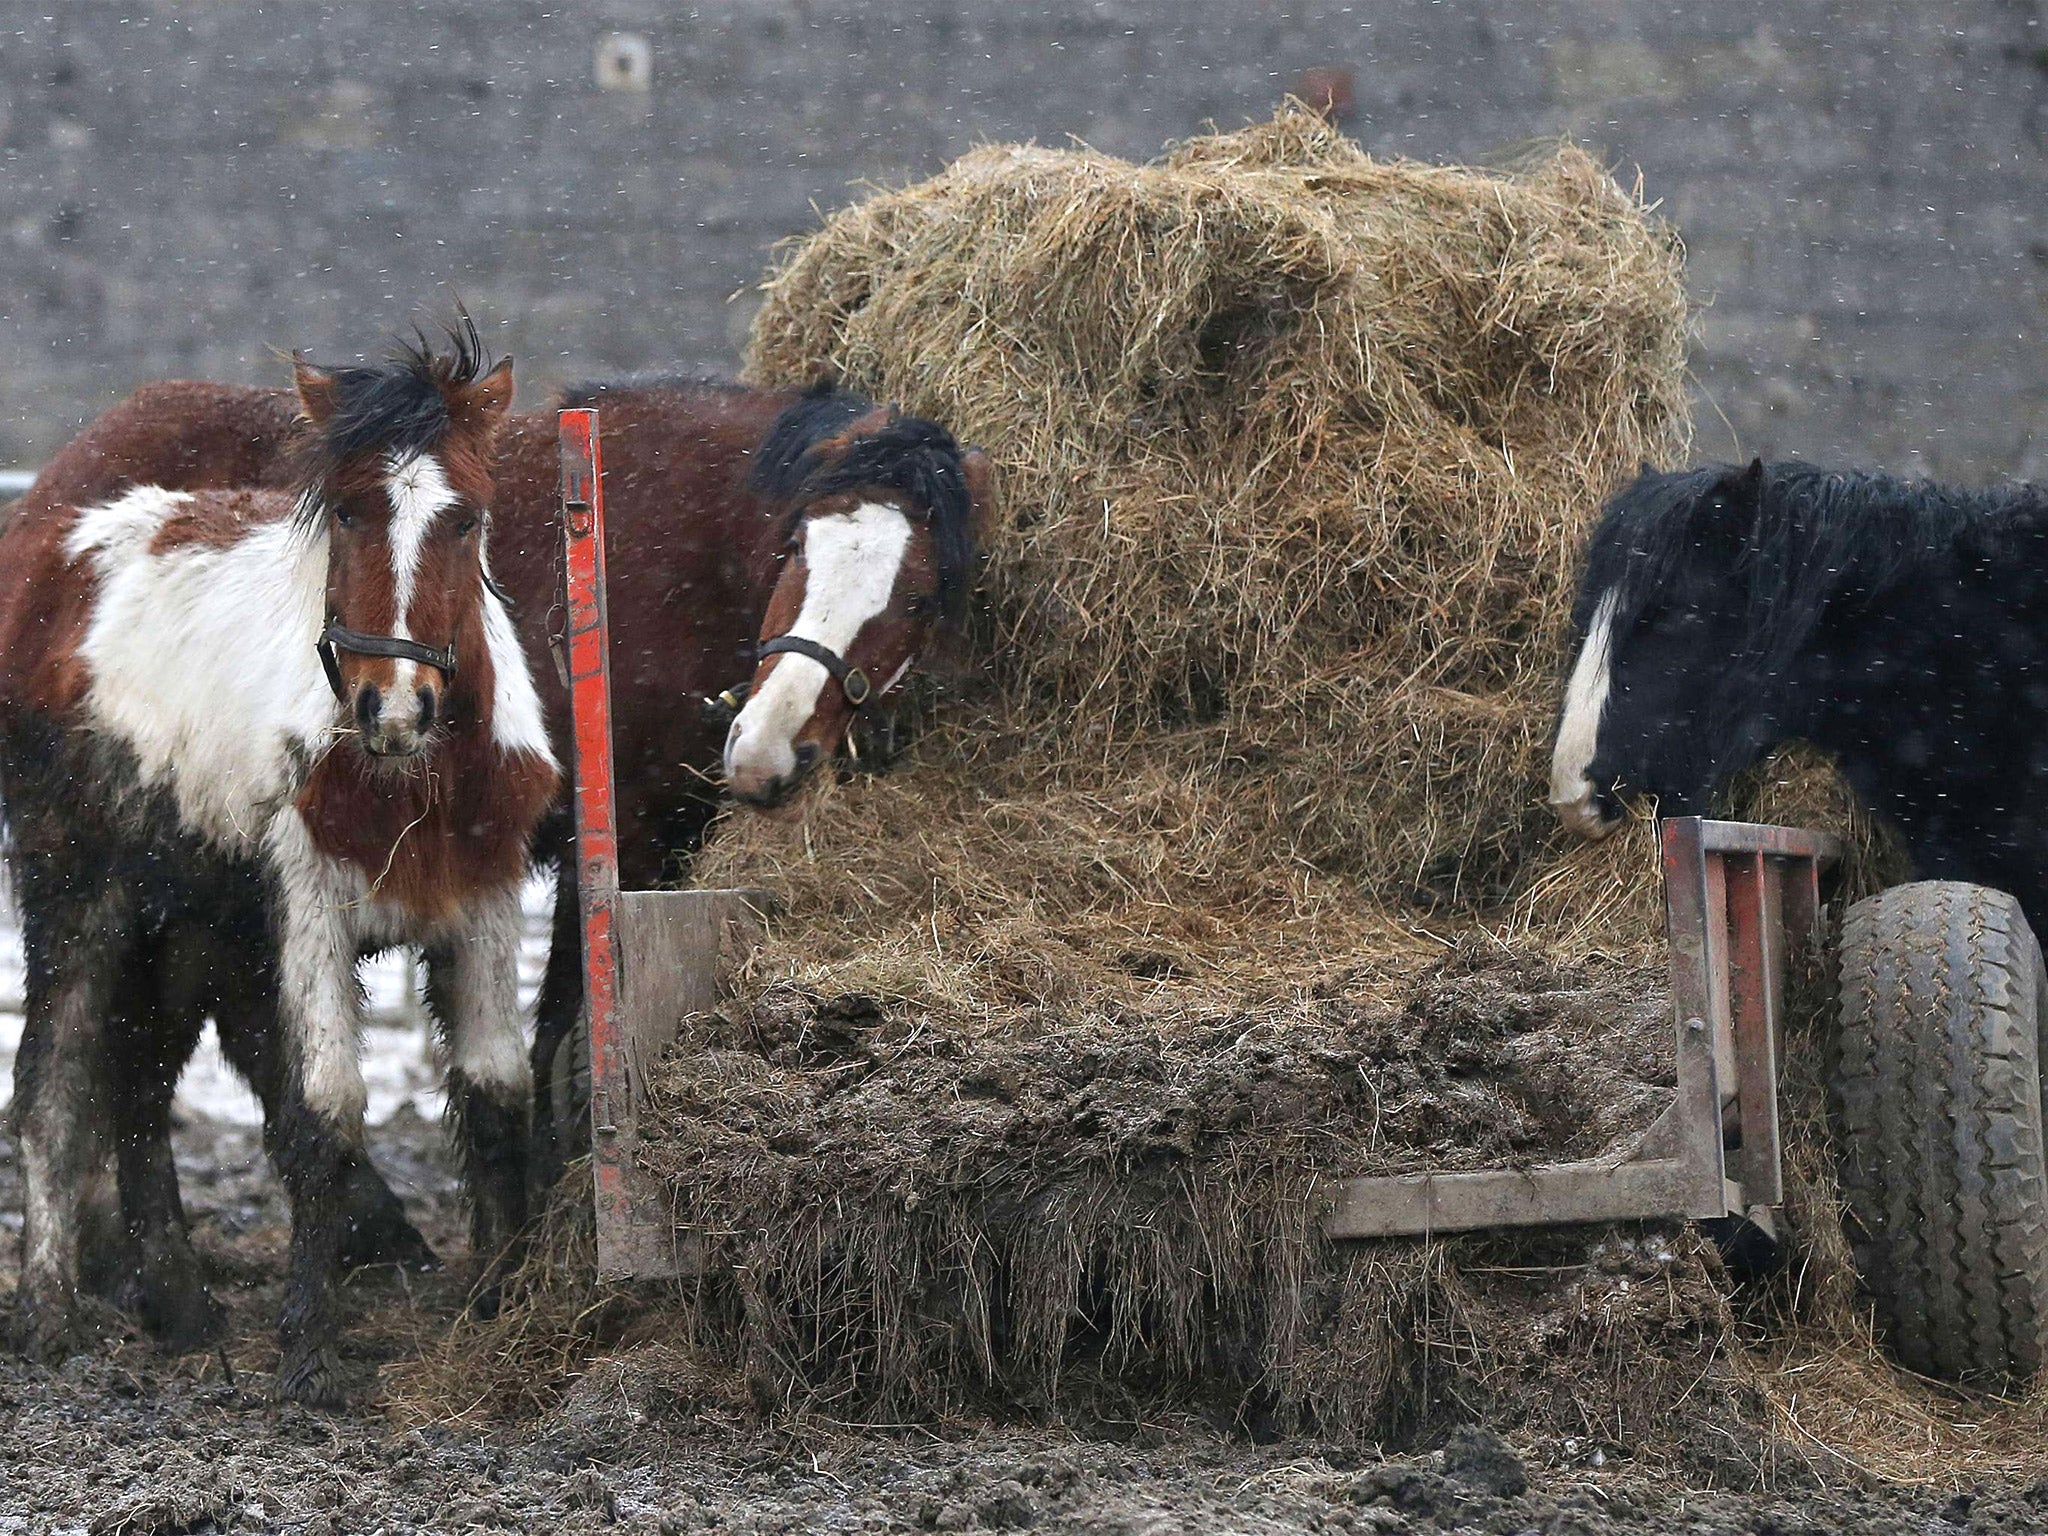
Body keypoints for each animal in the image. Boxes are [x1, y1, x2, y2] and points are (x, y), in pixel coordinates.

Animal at [0, 327, 557, 1409]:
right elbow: (324, 1115)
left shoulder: (484, 900)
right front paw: (312, 1357)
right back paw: (50, 1314)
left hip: (184, 920)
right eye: (345, 510)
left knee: (140, 1081)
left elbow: (495, 1090)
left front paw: (504, 1308)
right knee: (58, 1074)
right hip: (75, 884)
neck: (415, 779)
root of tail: (51, 549)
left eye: (466, 519)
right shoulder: (311, 908)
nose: (393, 707)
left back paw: (181, 1309)